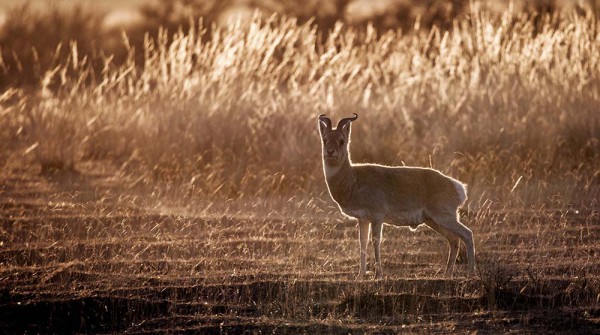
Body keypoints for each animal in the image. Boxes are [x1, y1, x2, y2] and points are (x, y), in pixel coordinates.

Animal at [316, 114, 476, 280]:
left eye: (341, 140)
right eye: (325, 139)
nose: (329, 152)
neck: (354, 179)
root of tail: (457, 186)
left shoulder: (377, 216)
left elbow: (376, 241)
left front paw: (378, 275)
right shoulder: (363, 219)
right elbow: (362, 243)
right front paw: (360, 275)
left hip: (444, 218)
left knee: (467, 234)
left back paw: (470, 273)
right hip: (433, 221)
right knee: (454, 240)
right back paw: (447, 274)